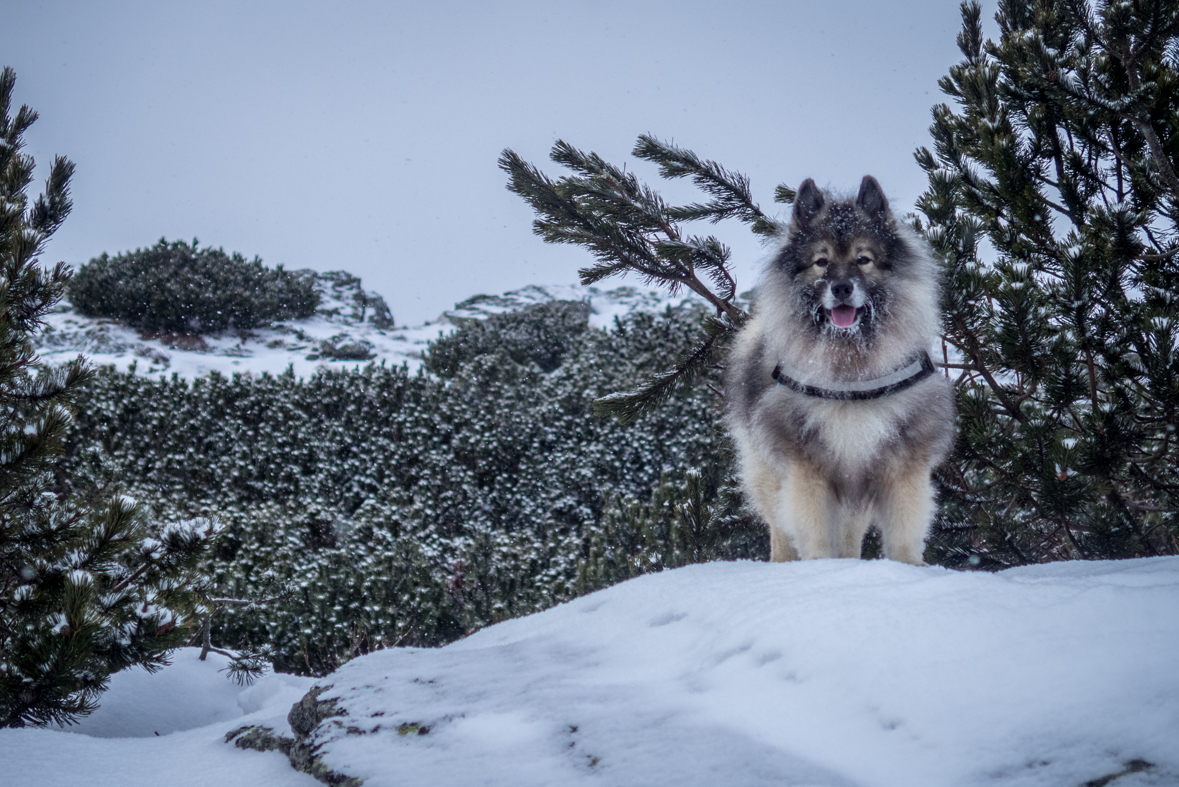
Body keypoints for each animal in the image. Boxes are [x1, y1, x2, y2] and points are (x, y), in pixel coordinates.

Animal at [726, 176, 957, 565]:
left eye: (863, 259)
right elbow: (814, 533)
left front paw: (909, 570)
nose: (842, 287)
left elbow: (904, 534)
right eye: (822, 262)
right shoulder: (807, 467)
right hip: (768, 469)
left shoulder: (901, 464)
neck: (850, 370)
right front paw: (821, 569)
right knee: (780, 529)